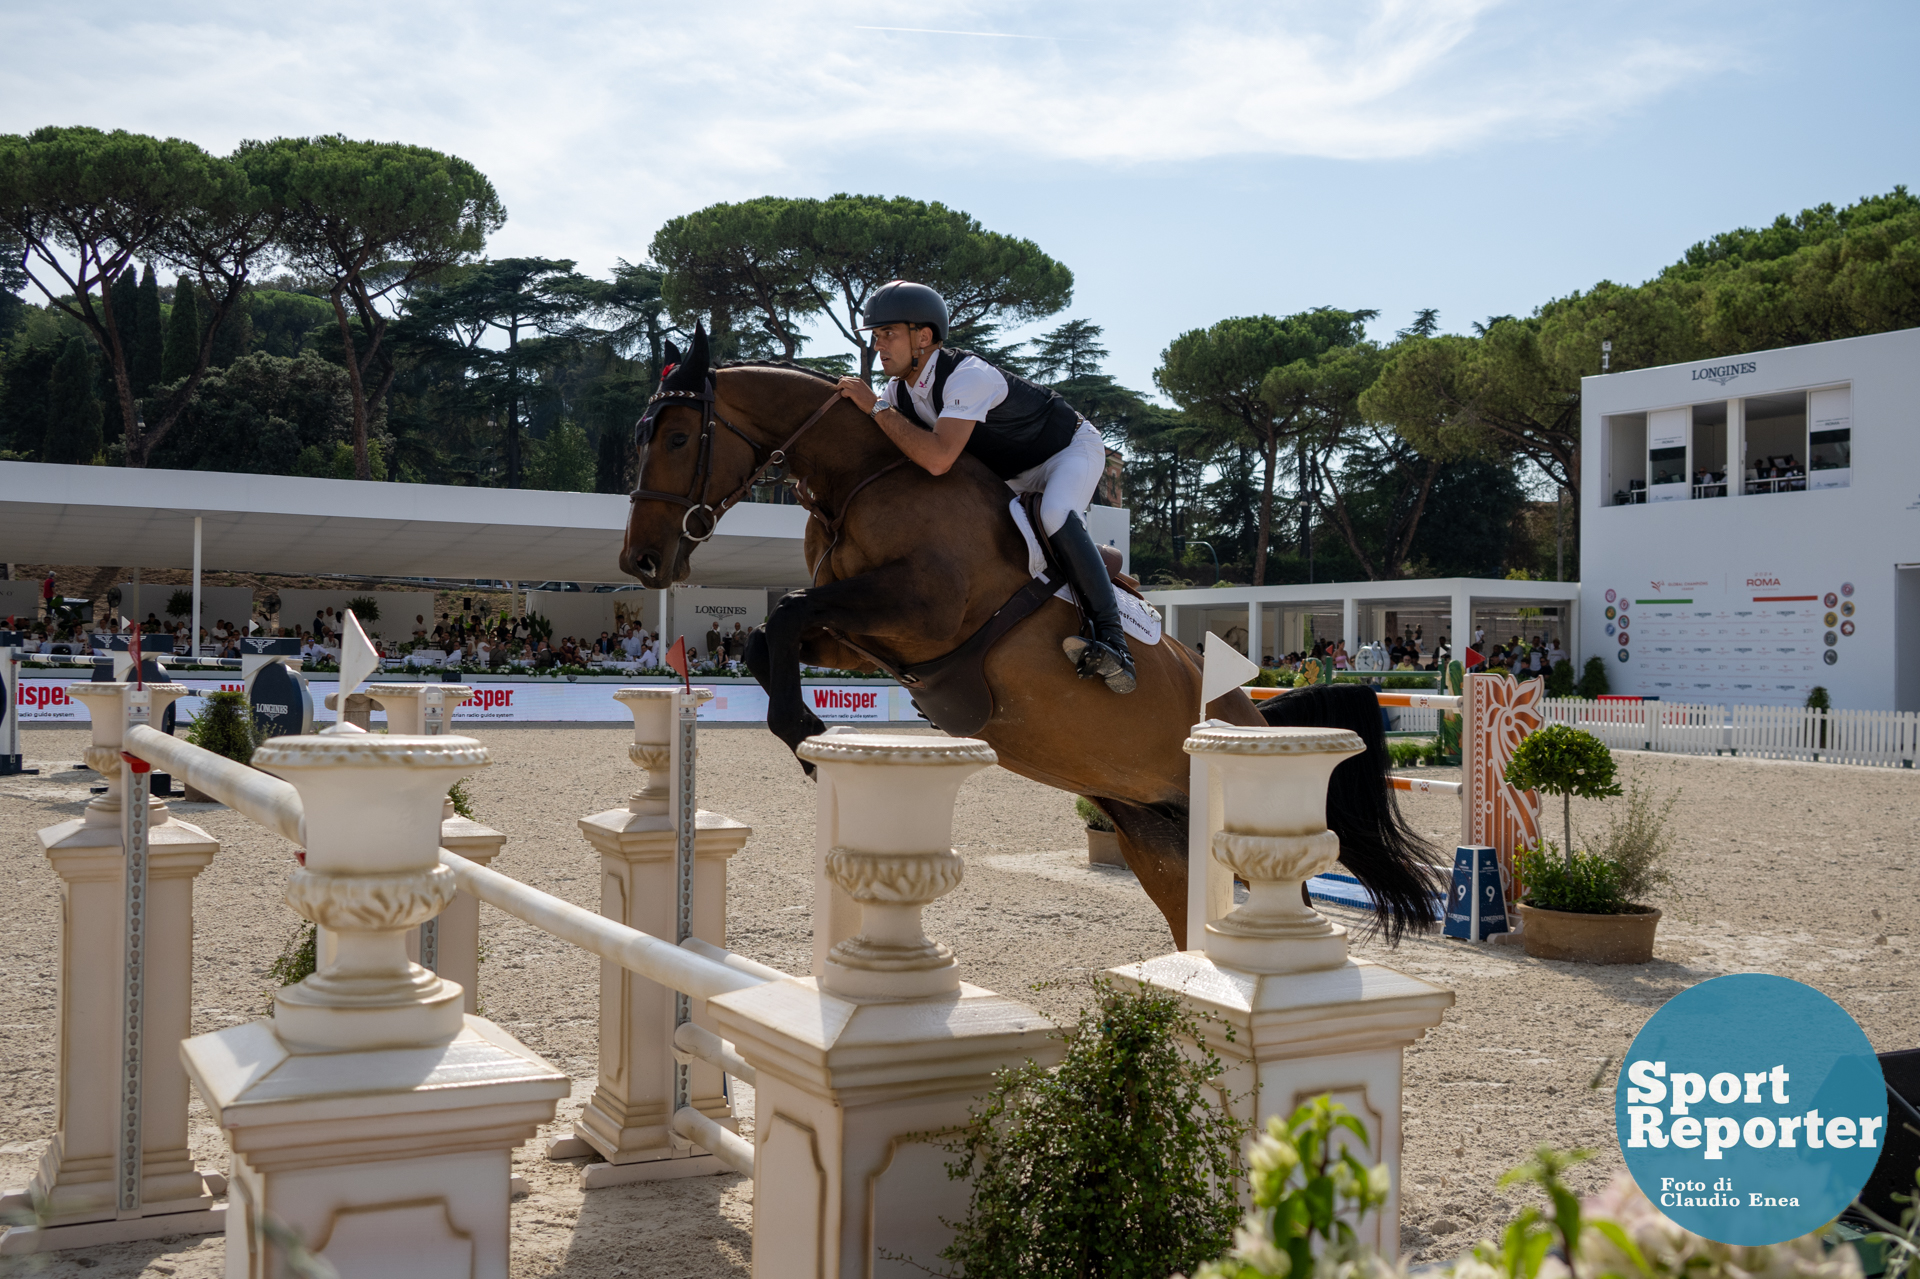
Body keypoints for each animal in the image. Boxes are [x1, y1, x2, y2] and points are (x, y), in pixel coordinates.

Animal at [618, 334, 1443, 941]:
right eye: (642, 435)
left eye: (681, 436)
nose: (641, 561)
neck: (866, 476)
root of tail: (1250, 718)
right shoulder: (863, 636)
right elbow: (768, 636)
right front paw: (807, 732)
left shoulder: (921, 612)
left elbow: (785, 612)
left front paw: (807, 732)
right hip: (1154, 833)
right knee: (1192, 926)